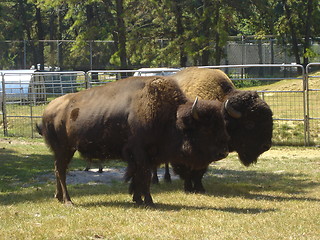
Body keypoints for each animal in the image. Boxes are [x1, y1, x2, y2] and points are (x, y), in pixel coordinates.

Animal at [38, 75, 230, 206]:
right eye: (205, 129)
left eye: (221, 125)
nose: (223, 152)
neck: (171, 116)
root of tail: (49, 109)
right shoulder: (140, 152)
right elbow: (143, 176)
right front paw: (149, 201)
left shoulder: (146, 156)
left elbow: (138, 176)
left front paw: (137, 199)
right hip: (65, 149)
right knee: (61, 171)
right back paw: (68, 201)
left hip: (63, 151)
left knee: (58, 170)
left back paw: (59, 197)